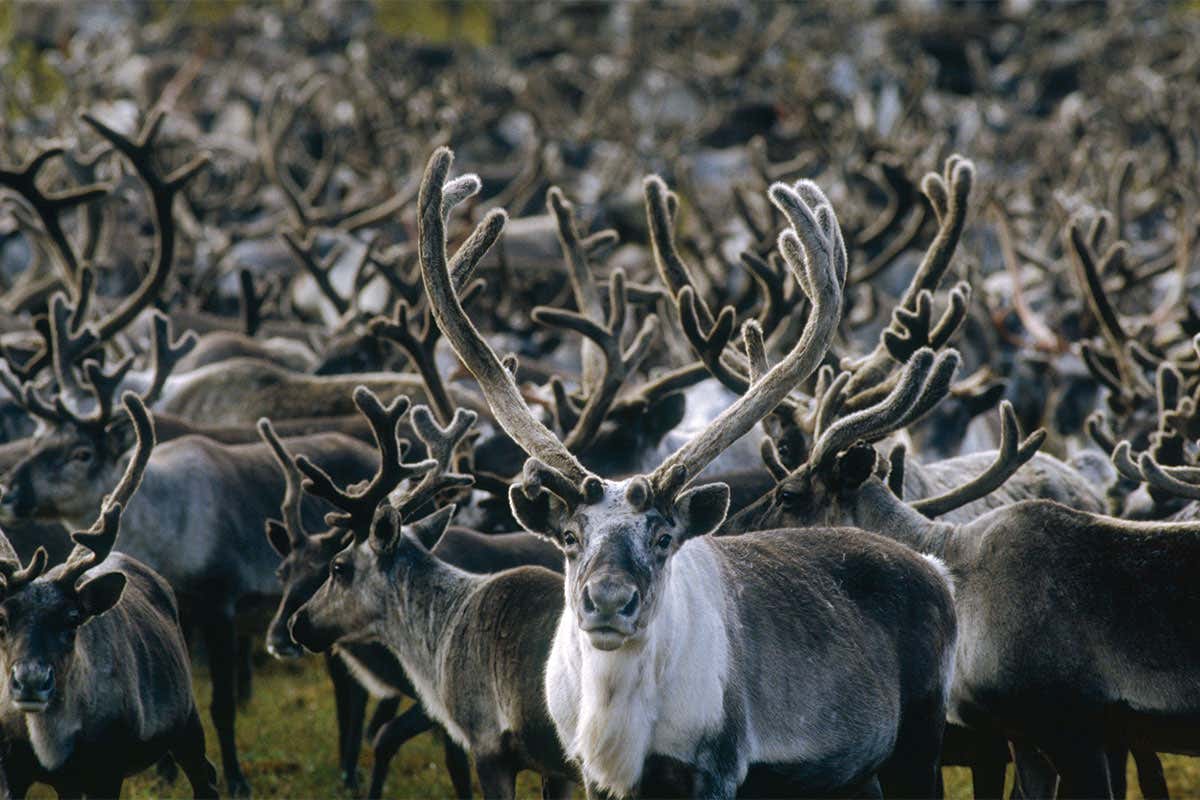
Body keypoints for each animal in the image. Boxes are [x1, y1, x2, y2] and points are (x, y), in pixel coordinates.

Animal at [0, 393, 218, 799]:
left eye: (72, 620)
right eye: (2, 619)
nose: (31, 681)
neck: (49, 744)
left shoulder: (107, 768)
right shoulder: (12, 768)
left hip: (186, 718)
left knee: (206, 775)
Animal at [416, 146, 957, 798]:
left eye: (664, 536)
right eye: (569, 537)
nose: (608, 600)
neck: (618, 720)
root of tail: (934, 568)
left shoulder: (716, 769)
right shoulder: (589, 773)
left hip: (920, 743)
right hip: (852, 772)